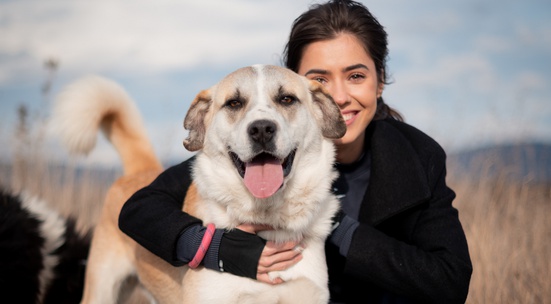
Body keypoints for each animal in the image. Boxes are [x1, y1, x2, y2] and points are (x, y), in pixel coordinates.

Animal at [51, 64, 344, 304]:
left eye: (287, 99)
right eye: (234, 103)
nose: (261, 129)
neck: (266, 222)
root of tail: (143, 169)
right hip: (102, 290)